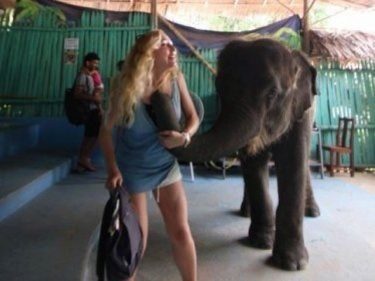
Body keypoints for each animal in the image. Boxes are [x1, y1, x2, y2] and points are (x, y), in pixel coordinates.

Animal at [151, 38, 322, 270]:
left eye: (272, 94)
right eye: (220, 90)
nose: (158, 87)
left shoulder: (299, 113)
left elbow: (293, 164)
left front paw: (291, 264)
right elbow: (253, 164)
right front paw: (260, 242)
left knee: (304, 165)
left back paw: (312, 212)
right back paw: (245, 212)